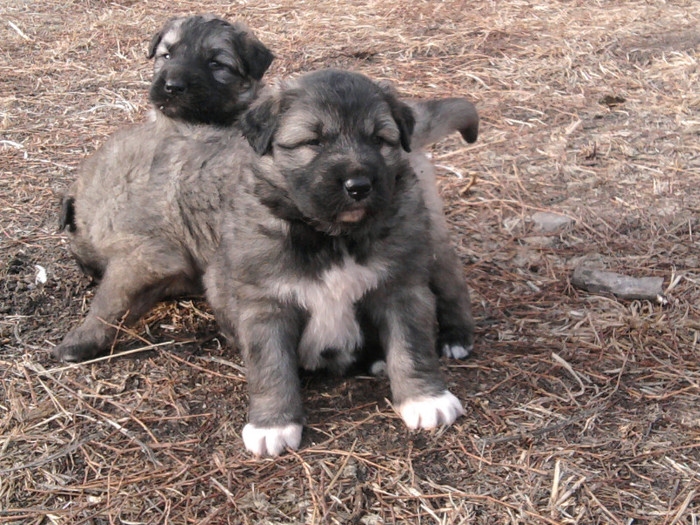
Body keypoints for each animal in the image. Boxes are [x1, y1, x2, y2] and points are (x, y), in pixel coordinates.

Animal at [204, 69, 464, 454]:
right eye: (314, 141)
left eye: (378, 139)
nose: (359, 185)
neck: (332, 236)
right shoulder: (265, 304)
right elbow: (271, 366)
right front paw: (273, 424)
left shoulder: (400, 286)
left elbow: (411, 346)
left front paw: (425, 398)